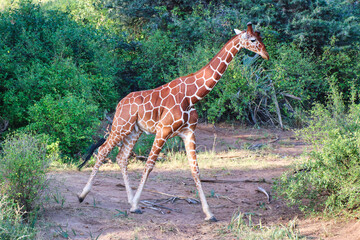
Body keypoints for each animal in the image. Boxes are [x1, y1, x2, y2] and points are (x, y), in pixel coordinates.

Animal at [79, 22, 270, 221]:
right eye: (253, 39)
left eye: (261, 37)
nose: (266, 54)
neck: (192, 96)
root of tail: (119, 104)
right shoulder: (163, 130)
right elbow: (149, 165)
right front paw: (136, 204)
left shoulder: (188, 133)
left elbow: (195, 170)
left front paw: (209, 213)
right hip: (121, 126)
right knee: (102, 150)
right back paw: (83, 195)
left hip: (134, 131)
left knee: (121, 157)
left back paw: (130, 200)